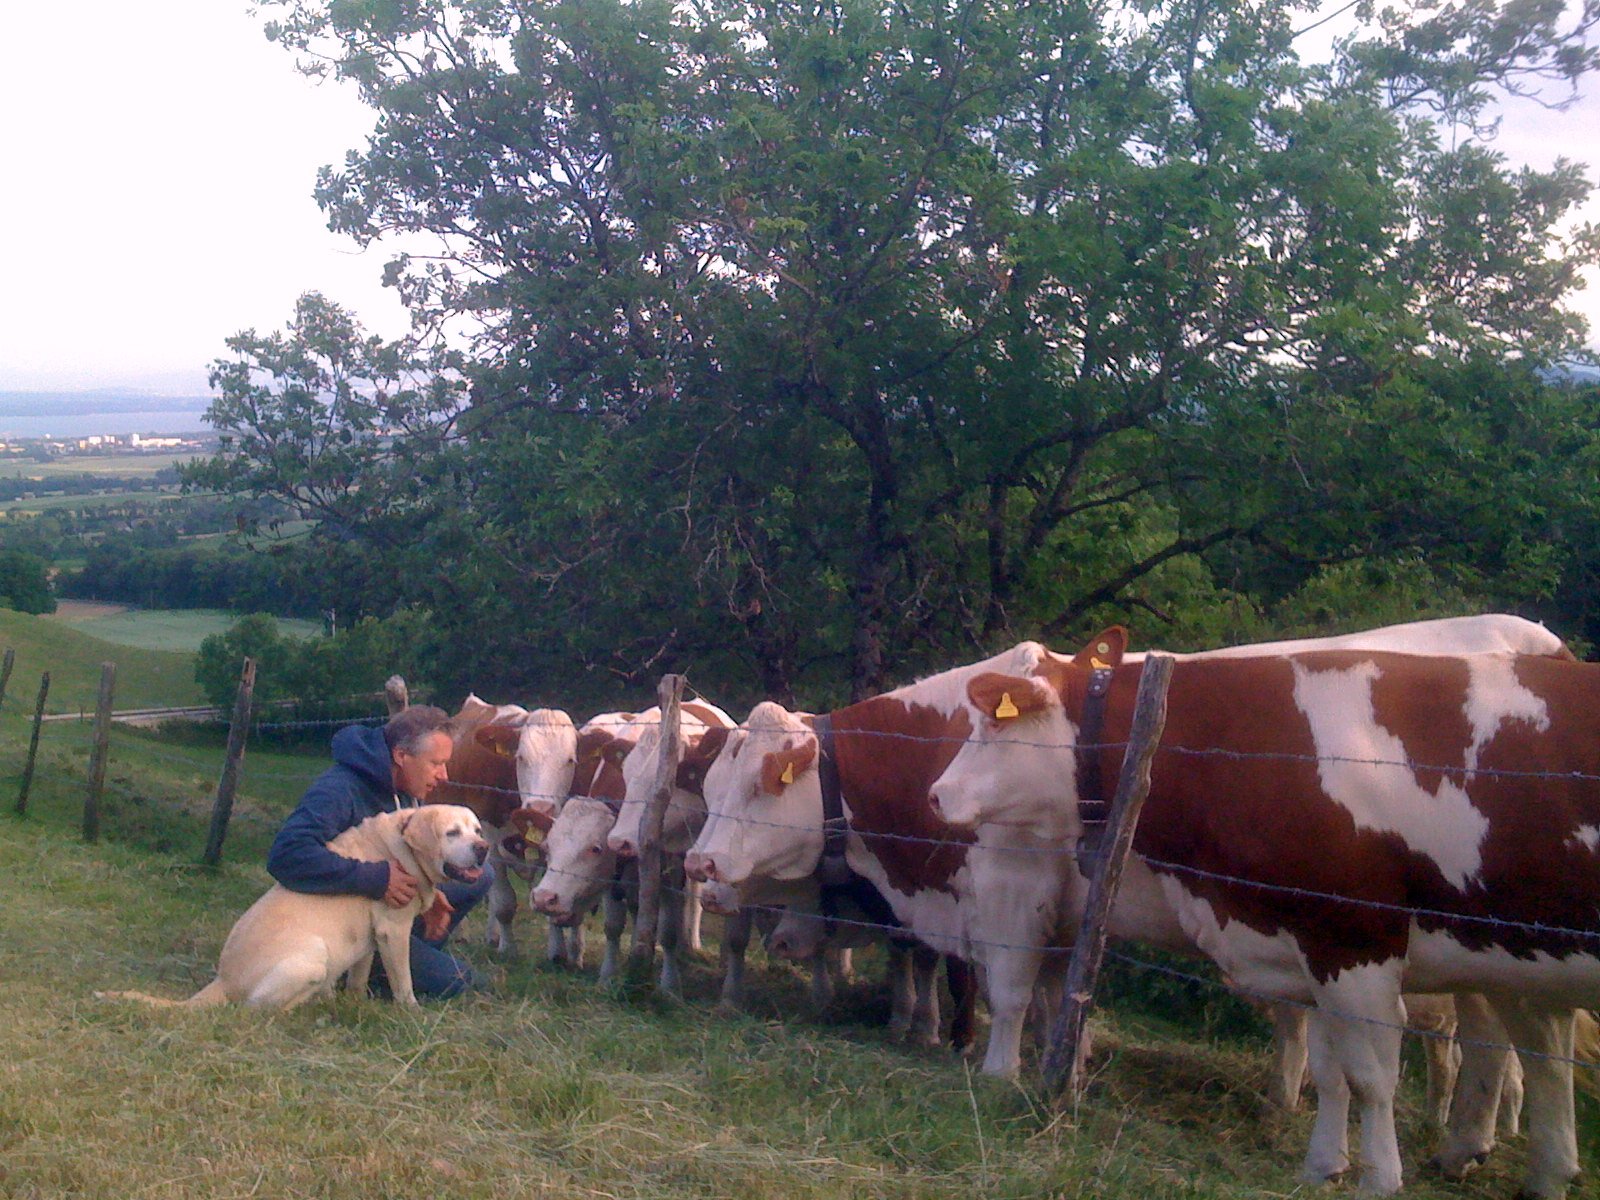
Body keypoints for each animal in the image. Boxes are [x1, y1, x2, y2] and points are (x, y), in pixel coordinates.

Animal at [98, 803, 486, 1011]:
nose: (483, 848)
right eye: (452, 833)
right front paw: (411, 1011)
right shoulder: (394, 931)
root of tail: (223, 981)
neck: (403, 849)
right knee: (255, 1010)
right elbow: (403, 979)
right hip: (313, 955)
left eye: (478, 830)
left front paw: (357, 1003)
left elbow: (359, 977)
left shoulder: (371, 938)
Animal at [934, 633, 1593, 1196]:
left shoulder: (1353, 937)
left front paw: (1379, 1179)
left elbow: (1371, 1074)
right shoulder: (1307, 943)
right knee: (1546, 1054)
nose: (936, 794)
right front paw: (1323, 1165)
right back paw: (1546, 1174)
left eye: (990, 725)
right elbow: (1330, 1069)